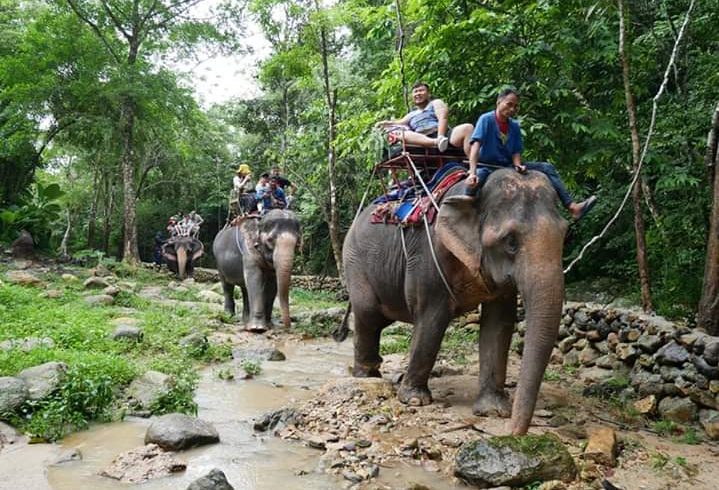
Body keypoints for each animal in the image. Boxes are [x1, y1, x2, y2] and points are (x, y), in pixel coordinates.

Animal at [340, 169, 572, 436]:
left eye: (564, 237)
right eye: (510, 242)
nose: (513, 433)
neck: (472, 195)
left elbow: (498, 325)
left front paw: (492, 411)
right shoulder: (427, 256)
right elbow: (432, 319)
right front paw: (414, 400)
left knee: (379, 319)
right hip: (355, 263)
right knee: (368, 315)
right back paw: (367, 375)